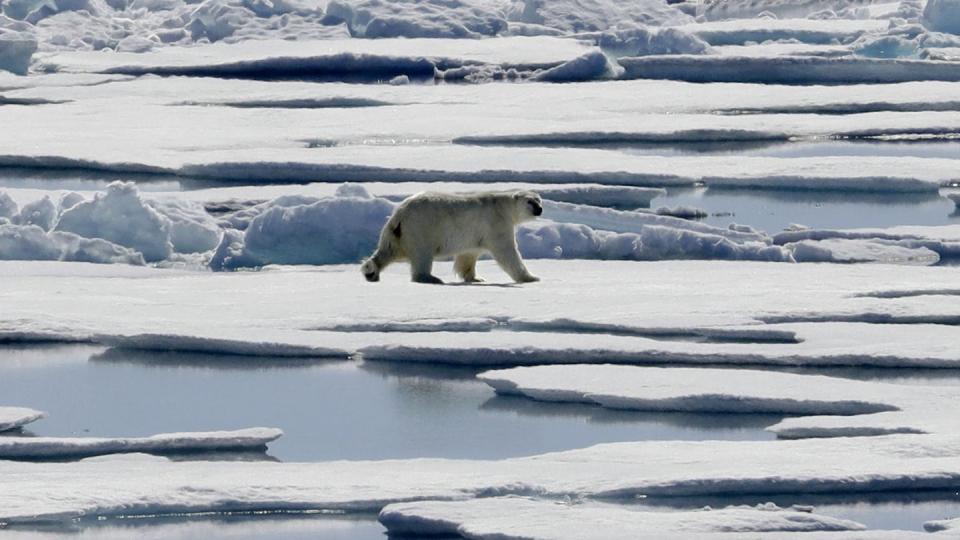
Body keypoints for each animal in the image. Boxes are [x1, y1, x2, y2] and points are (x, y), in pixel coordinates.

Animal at [362, 190, 544, 282]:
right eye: (530, 201)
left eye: (539, 199)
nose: (540, 209)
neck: (504, 207)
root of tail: (399, 214)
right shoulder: (496, 222)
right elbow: (507, 252)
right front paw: (531, 277)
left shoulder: (475, 234)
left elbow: (468, 255)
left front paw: (475, 278)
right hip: (421, 227)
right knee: (422, 254)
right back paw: (430, 277)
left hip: (396, 233)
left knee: (388, 250)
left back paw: (371, 272)